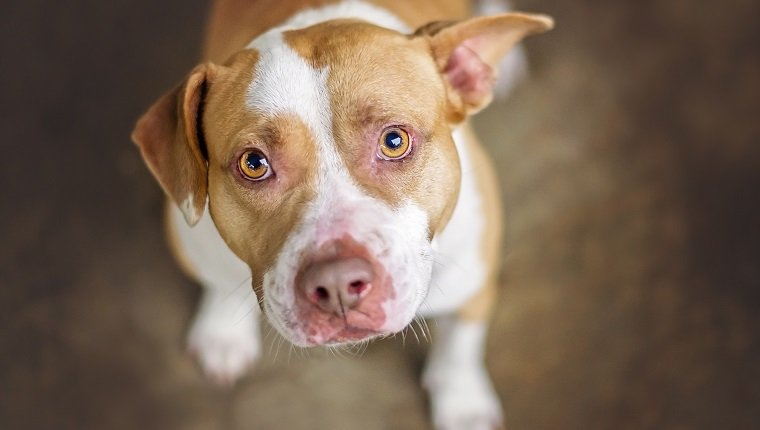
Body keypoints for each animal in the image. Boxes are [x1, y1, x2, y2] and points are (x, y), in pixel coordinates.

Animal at [132, 0, 552, 426]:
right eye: (253, 164)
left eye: (395, 141)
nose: (336, 284)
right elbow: (218, 283)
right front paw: (223, 333)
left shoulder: (474, 273)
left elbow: (461, 341)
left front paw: (462, 403)